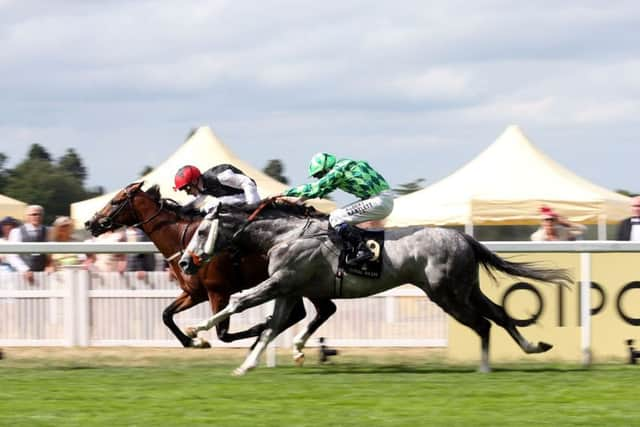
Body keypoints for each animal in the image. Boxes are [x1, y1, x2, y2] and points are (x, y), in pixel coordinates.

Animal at [84, 181, 336, 354]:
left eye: (116, 201)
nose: (90, 222)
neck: (184, 238)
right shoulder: (194, 293)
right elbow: (166, 315)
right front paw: (193, 341)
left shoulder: (218, 291)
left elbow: (223, 334)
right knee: (313, 311)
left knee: (318, 310)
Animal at [188, 201, 572, 374]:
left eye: (201, 231)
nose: (187, 262)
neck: (287, 234)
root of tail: (462, 236)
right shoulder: (288, 289)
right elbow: (270, 328)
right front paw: (246, 366)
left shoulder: (281, 282)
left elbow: (239, 302)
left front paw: (197, 330)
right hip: (465, 288)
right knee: (500, 313)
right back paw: (533, 346)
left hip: (446, 293)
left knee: (483, 323)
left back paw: (485, 367)